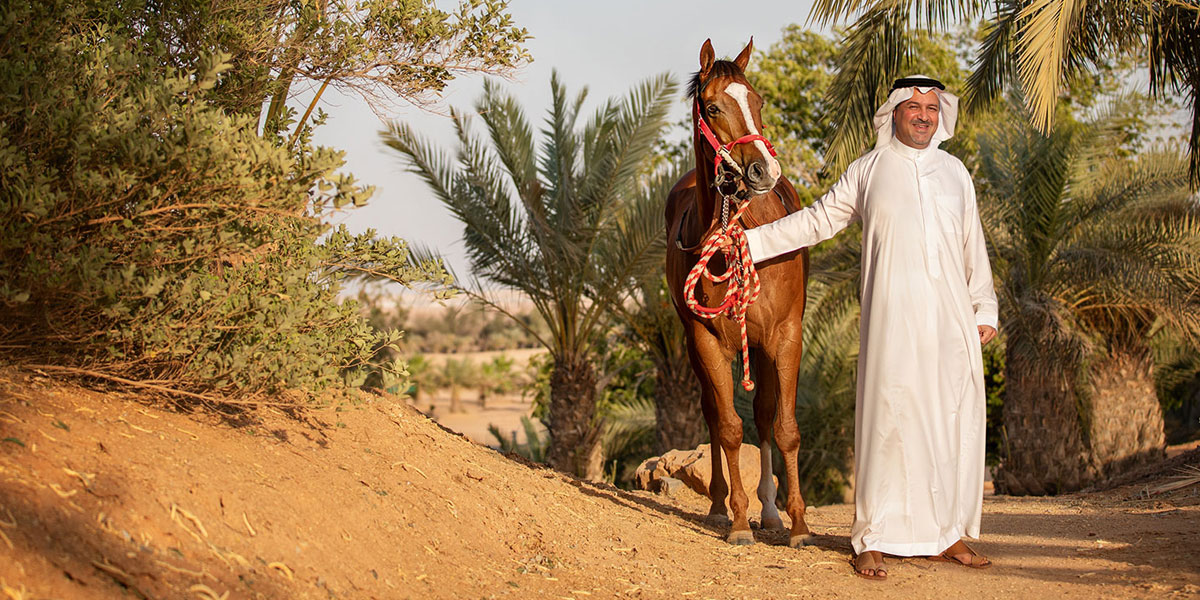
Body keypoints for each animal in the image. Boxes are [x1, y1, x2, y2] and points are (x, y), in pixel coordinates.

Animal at [662, 39, 820, 549]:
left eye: (758, 101)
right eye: (712, 107)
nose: (762, 170)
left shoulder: (785, 336)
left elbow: (784, 427)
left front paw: (798, 524)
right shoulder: (705, 340)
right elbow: (729, 427)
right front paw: (735, 519)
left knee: (767, 416)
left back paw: (771, 512)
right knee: (715, 414)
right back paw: (719, 505)